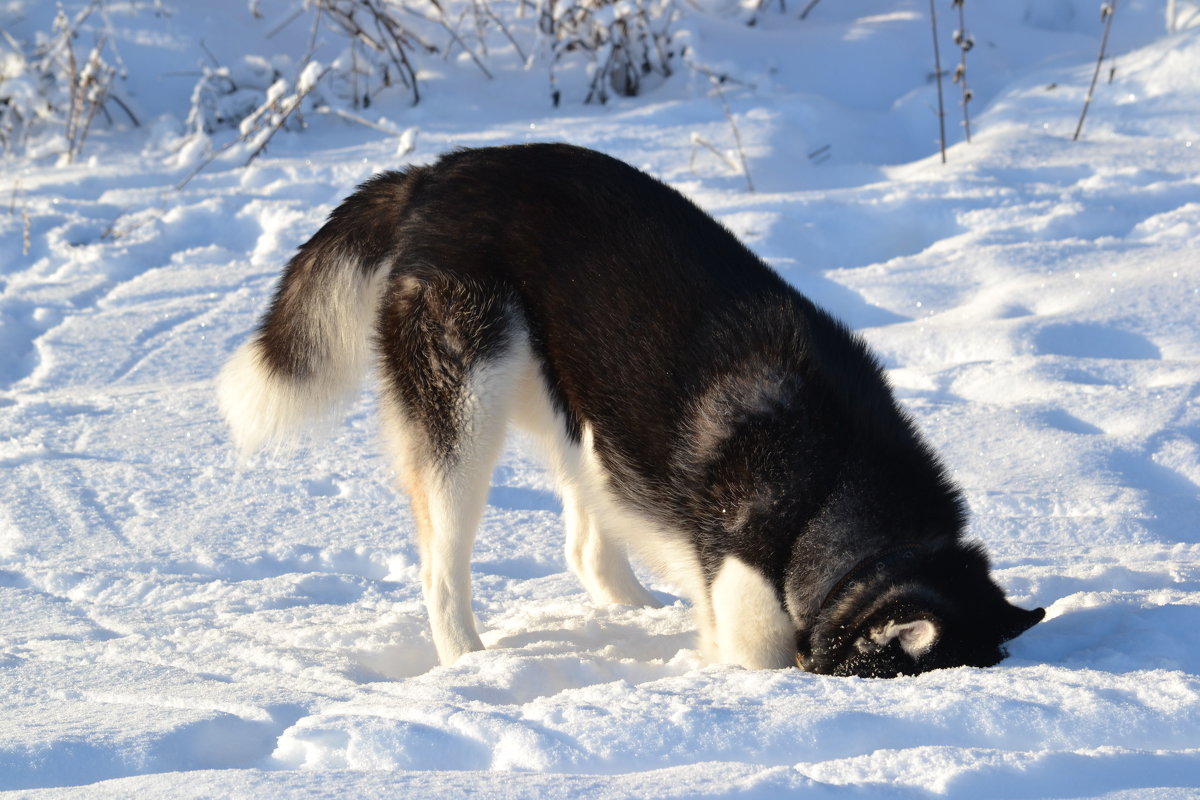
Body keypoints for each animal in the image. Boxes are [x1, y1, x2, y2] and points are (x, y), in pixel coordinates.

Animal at [220, 143, 1046, 676]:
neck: (830, 490)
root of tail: (436, 172)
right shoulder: (751, 605)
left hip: (579, 409)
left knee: (587, 543)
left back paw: (637, 613)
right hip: (468, 406)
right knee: (441, 568)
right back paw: (469, 667)